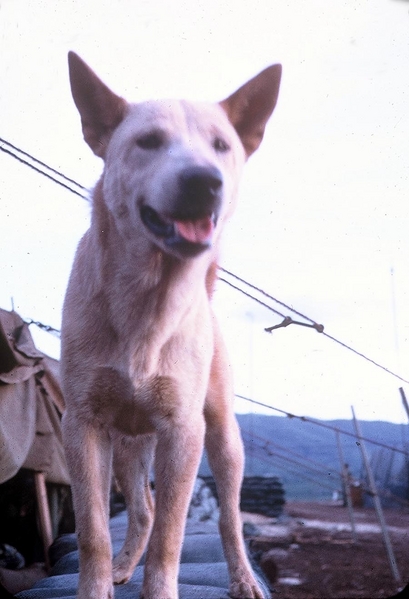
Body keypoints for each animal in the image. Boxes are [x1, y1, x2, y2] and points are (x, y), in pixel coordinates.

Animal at [60, 52, 280, 599]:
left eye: (221, 145)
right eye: (149, 141)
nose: (205, 180)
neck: (148, 302)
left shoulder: (184, 432)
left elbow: (171, 536)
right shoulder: (83, 425)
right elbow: (93, 530)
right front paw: (98, 583)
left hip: (223, 439)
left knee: (227, 517)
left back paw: (244, 578)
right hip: (127, 445)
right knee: (143, 510)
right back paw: (123, 565)